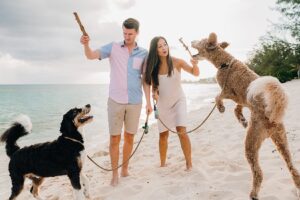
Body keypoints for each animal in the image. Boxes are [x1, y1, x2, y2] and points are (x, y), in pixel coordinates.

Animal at [192, 32, 300, 199]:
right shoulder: (242, 99)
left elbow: (217, 96)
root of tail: (272, 116)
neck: (225, 62)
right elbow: (237, 108)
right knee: (293, 169)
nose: (192, 40)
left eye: (199, 41)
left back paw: (253, 194)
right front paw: (241, 119)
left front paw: (221, 107)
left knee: (258, 173)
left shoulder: (229, 91)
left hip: (250, 144)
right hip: (281, 141)